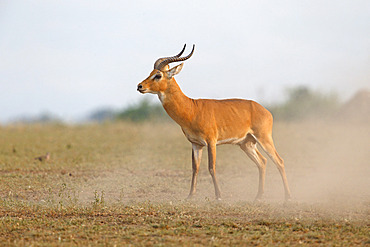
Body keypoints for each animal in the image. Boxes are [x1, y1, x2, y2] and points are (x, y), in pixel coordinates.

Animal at [137, 45, 292, 202]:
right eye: (150, 73)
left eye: (158, 75)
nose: (140, 86)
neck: (192, 109)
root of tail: (265, 110)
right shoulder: (196, 144)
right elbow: (195, 168)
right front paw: (190, 196)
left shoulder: (211, 141)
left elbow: (211, 167)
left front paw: (218, 196)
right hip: (246, 143)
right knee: (263, 162)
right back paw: (258, 197)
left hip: (263, 138)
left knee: (279, 161)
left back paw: (287, 197)